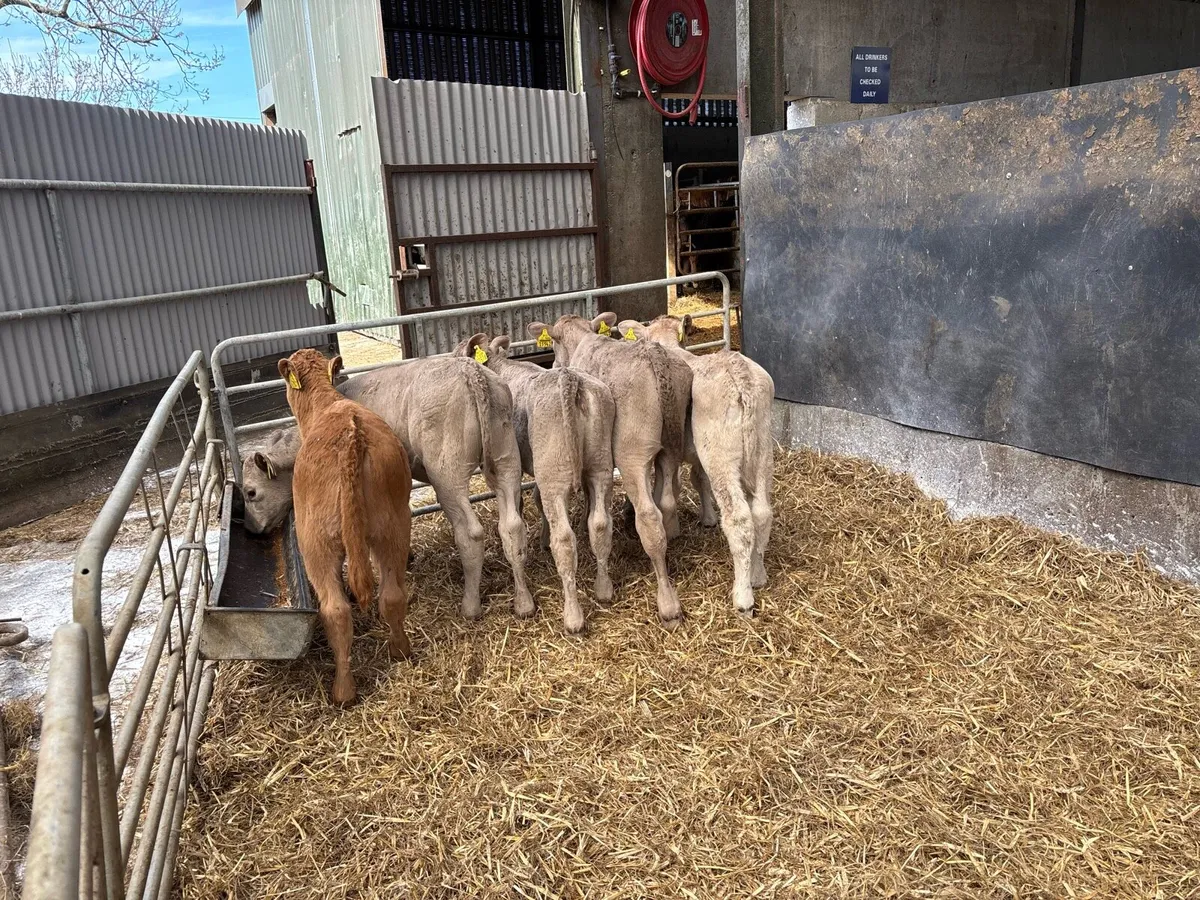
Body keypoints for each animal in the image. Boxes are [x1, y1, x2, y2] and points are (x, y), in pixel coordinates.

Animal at [242, 356, 534, 623]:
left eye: (250, 492)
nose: (251, 529)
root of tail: (471, 371)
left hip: (447, 472)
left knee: (471, 534)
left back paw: (470, 605)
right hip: (506, 456)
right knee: (512, 527)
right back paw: (524, 602)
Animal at [278, 349, 412, 704]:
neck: (327, 404)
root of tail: (352, 434)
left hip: (315, 543)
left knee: (335, 610)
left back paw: (343, 690)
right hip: (393, 527)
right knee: (391, 595)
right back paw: (400, 650)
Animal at [454, 332, 615, 634]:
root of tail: (568, 379)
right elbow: (537, 500)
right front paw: (541, 539)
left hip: (556, 475)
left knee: (564, 539)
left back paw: (573, 617)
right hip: (600, 466)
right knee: (600, 524)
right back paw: (604, 589)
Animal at [526, 312, 692, 628]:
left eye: (552, 343)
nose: (553, 365)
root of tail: (654, 354)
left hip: (632, 453)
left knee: (649, 516)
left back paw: (668, 604)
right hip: (669, 446)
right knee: (665, 501)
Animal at [619, 315, 775, 615]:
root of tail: (741, 375)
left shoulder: (673, 450)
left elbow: (672, 488)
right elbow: (697, 480)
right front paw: (707, 518)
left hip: (720, 454)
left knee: (739, 518)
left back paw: (743, 596)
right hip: (763, 449)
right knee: (762, 512)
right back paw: (758, 575)